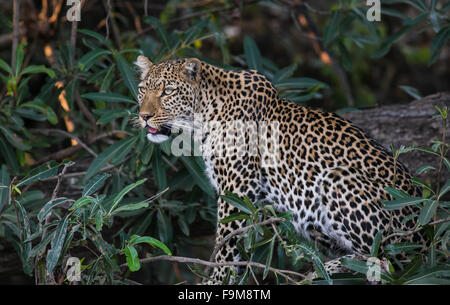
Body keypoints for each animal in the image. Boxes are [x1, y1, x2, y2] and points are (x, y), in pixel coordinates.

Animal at [134, 55, 428, 284]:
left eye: (168, 91)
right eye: (141, 90)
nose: (144, 116)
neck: (204, 115)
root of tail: (424, 239)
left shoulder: (237, 190)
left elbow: (226, 247)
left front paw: (216, 282)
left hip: (338, 180)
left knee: (387, 261)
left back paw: (324, 271)